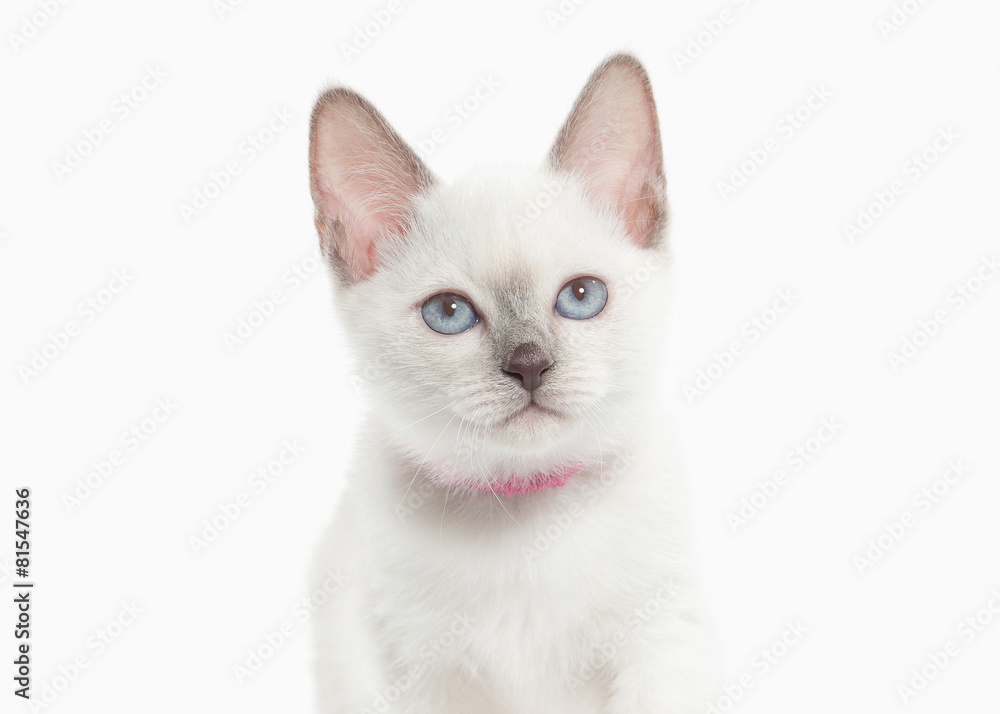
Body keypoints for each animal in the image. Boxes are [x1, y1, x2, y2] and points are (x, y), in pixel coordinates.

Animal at [308, 55, 716, 712]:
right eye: (449, 313)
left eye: (582, 296)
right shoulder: (420, 671)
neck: (525, 519)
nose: (529, 365)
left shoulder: (662, 642)